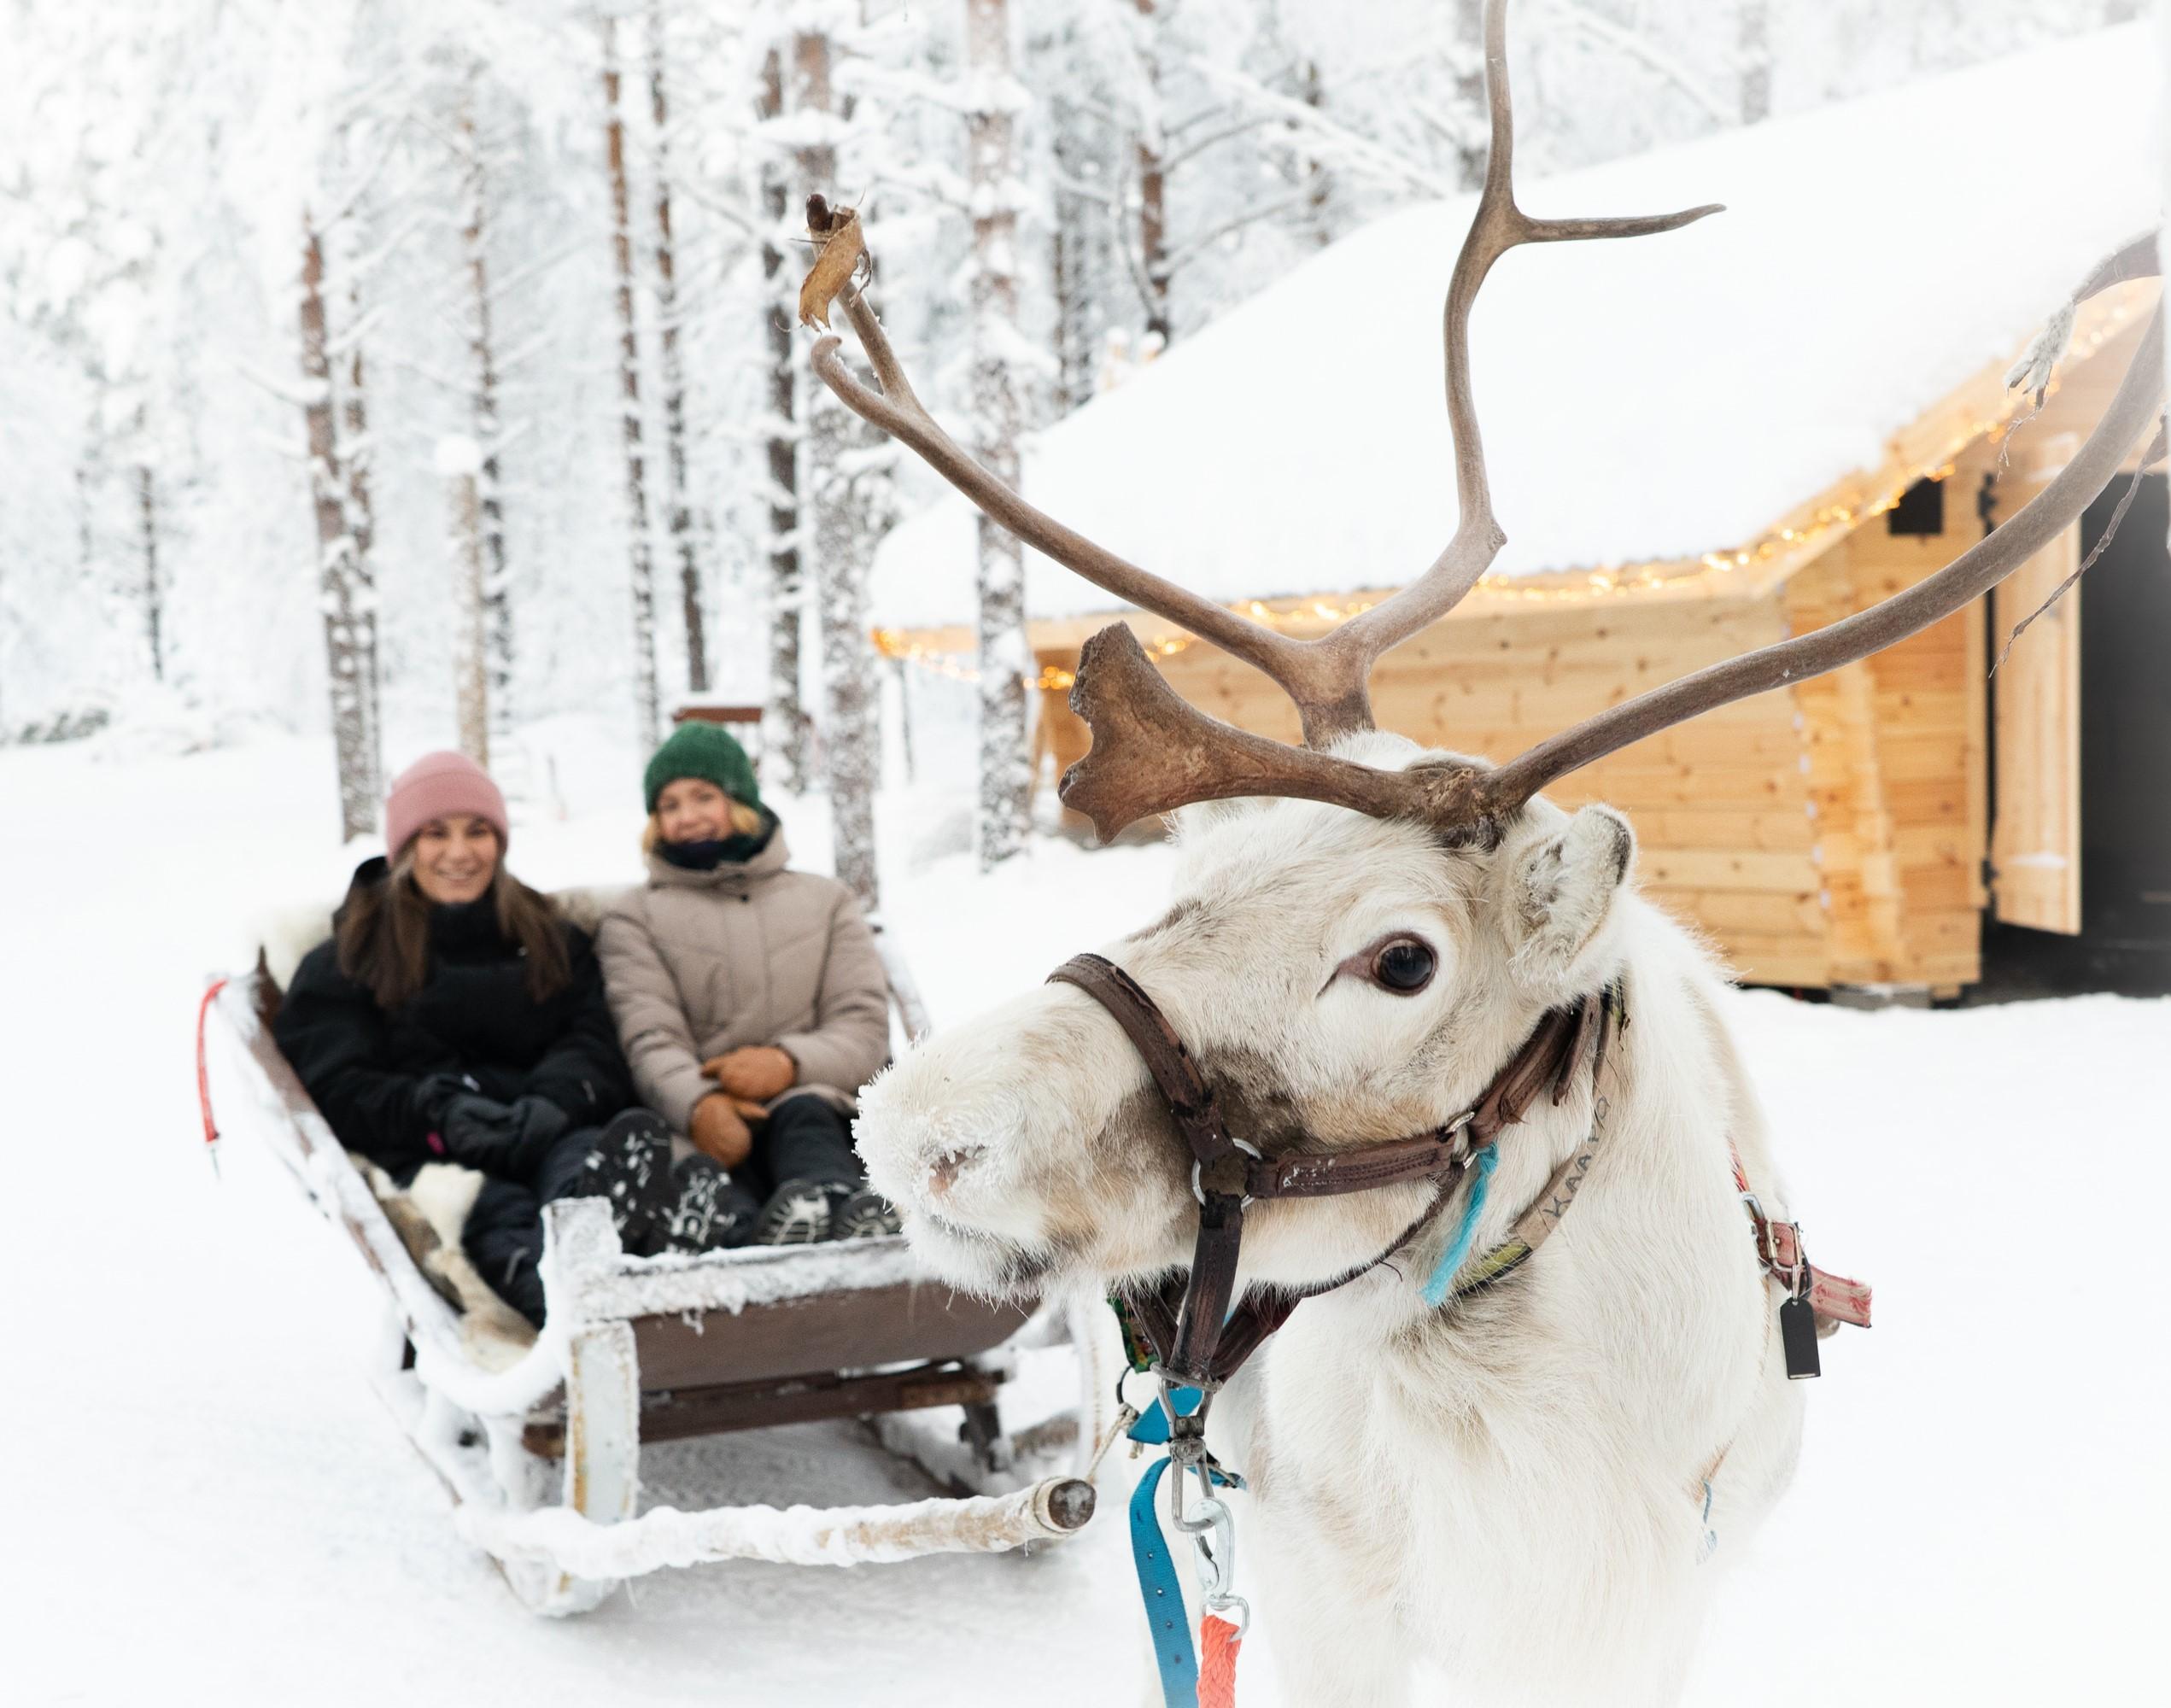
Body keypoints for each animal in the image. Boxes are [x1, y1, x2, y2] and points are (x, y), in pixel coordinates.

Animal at [799, 4, 2165, 1701]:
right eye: (1185, 882)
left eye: (1400, 959)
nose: (915, 1129)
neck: (1544, 1430)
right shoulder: (1322, 1591)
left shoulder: (1647, 1610)